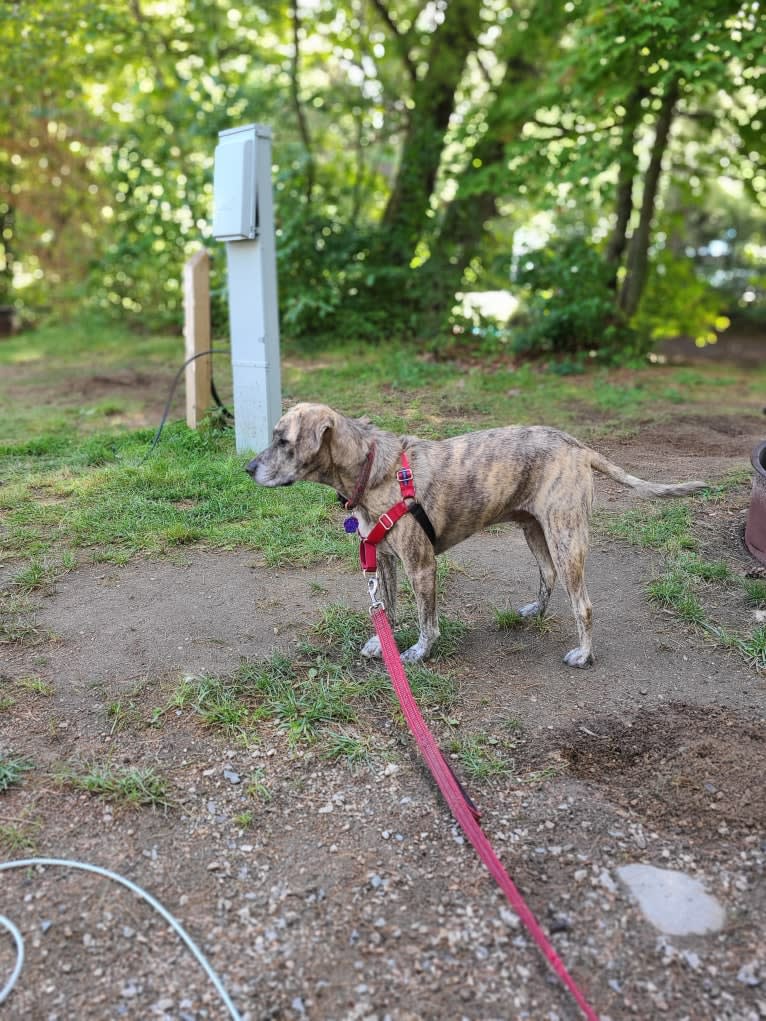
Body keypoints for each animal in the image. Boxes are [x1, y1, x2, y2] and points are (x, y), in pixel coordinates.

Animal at [247, 402, 706, 673]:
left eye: (282, 440)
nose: (248, 468)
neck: (373, 469)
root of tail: (578, 447)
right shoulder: (385, 559)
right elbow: (388, 610)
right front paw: (384, 643)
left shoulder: (421, 566)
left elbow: (426, 622)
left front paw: (417, 653)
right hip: (534, 530)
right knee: (548, 576)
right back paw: (535, 612)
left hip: (566, 537)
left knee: (584, 605)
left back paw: (584, 655)